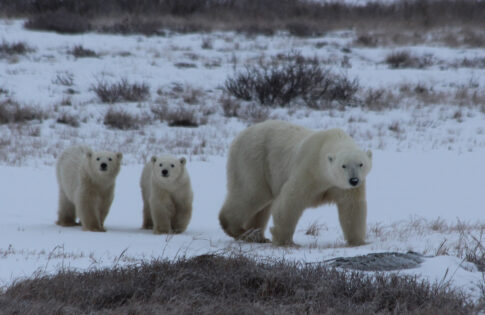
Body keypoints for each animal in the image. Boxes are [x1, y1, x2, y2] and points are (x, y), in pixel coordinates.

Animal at [217, 121, 372, 247]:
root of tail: (239, 135)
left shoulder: (344, 187)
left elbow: (352, 207)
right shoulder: (309, 170)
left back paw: (257, 236)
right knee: (251, 193)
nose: (354, 180)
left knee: (262, 205)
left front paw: (358, 241)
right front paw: (285, 240)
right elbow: (291, 200)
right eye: (343, 166)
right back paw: (237, 229)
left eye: (361, 164)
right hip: (253, 160)